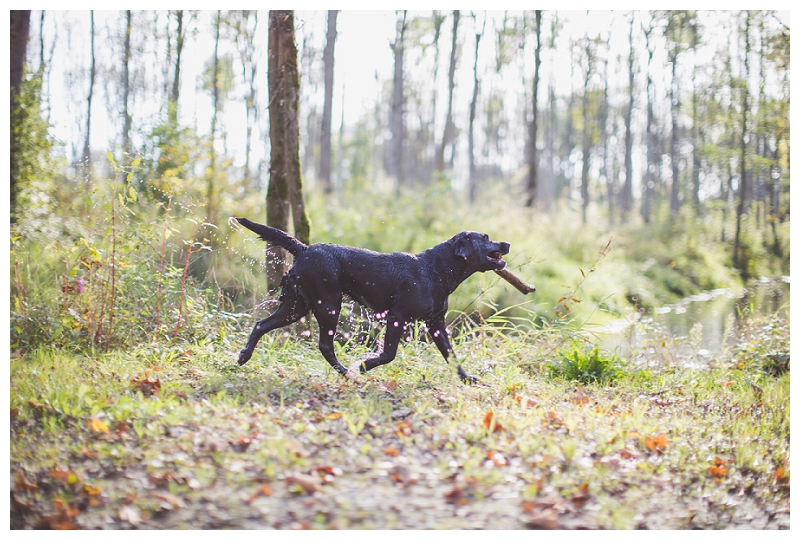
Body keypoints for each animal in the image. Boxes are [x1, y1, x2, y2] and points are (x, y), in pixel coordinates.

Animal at [234, 217, 510, 382]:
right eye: (486, 238)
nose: (506, 243)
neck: (437, 270)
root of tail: (304, 248)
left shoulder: (436, 323)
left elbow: (451, 355)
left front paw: (467, 378)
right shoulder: (397, 316)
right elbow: (389, 354)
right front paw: (365, 365)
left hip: (296, 306)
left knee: (261, 324)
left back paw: (244, 356)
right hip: (328, 304)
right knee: (325, 345)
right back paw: (348, 373)